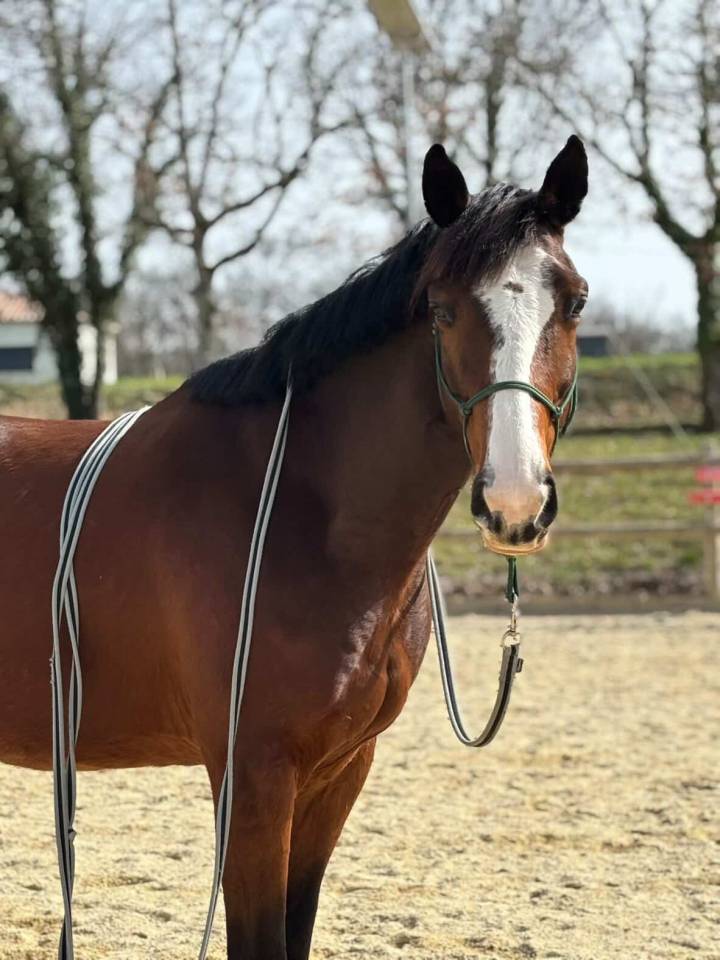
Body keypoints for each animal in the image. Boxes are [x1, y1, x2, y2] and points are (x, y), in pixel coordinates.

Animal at [0, 136, 588, 959]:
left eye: (575, 302)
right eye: (442, 310)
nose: (514, 501)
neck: (300, 514)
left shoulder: (338, 772)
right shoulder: (253, 776)